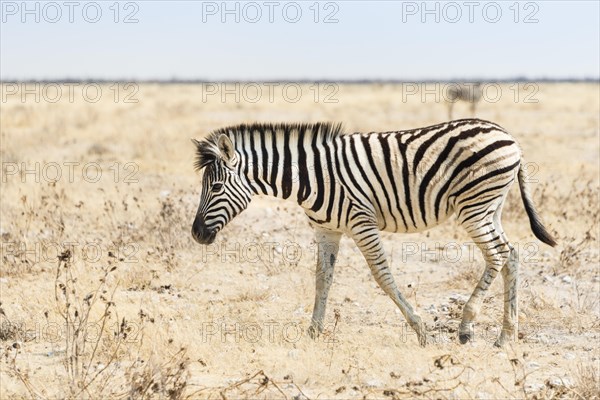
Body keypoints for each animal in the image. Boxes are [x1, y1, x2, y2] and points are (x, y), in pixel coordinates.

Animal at [192, 119, 556, 346]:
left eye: (217, 187)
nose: (196, 234)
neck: (310, 177)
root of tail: (509, 136)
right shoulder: (327, 230)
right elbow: (322, 278)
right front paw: (313, 332)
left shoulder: (361, 222)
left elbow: (382, 275)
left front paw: (420, 331)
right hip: (491, 206)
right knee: (512, 254)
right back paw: (506, 336)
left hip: (475, 206)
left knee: (498, 253)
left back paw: (467, 327)